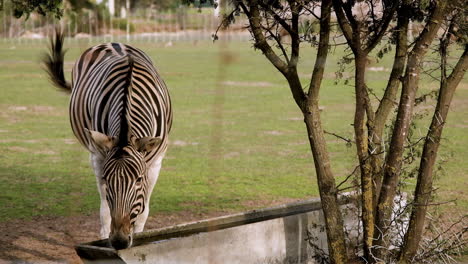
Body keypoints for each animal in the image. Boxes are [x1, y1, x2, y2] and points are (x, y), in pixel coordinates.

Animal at [43, 31, 172, 250]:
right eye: (107, 179)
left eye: (138, 180)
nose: (119, 241)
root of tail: (113, 42)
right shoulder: (100, 157)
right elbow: (105, 209)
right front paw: (104, 238)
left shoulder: (155, 161)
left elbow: (144, 210)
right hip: (93, 149)